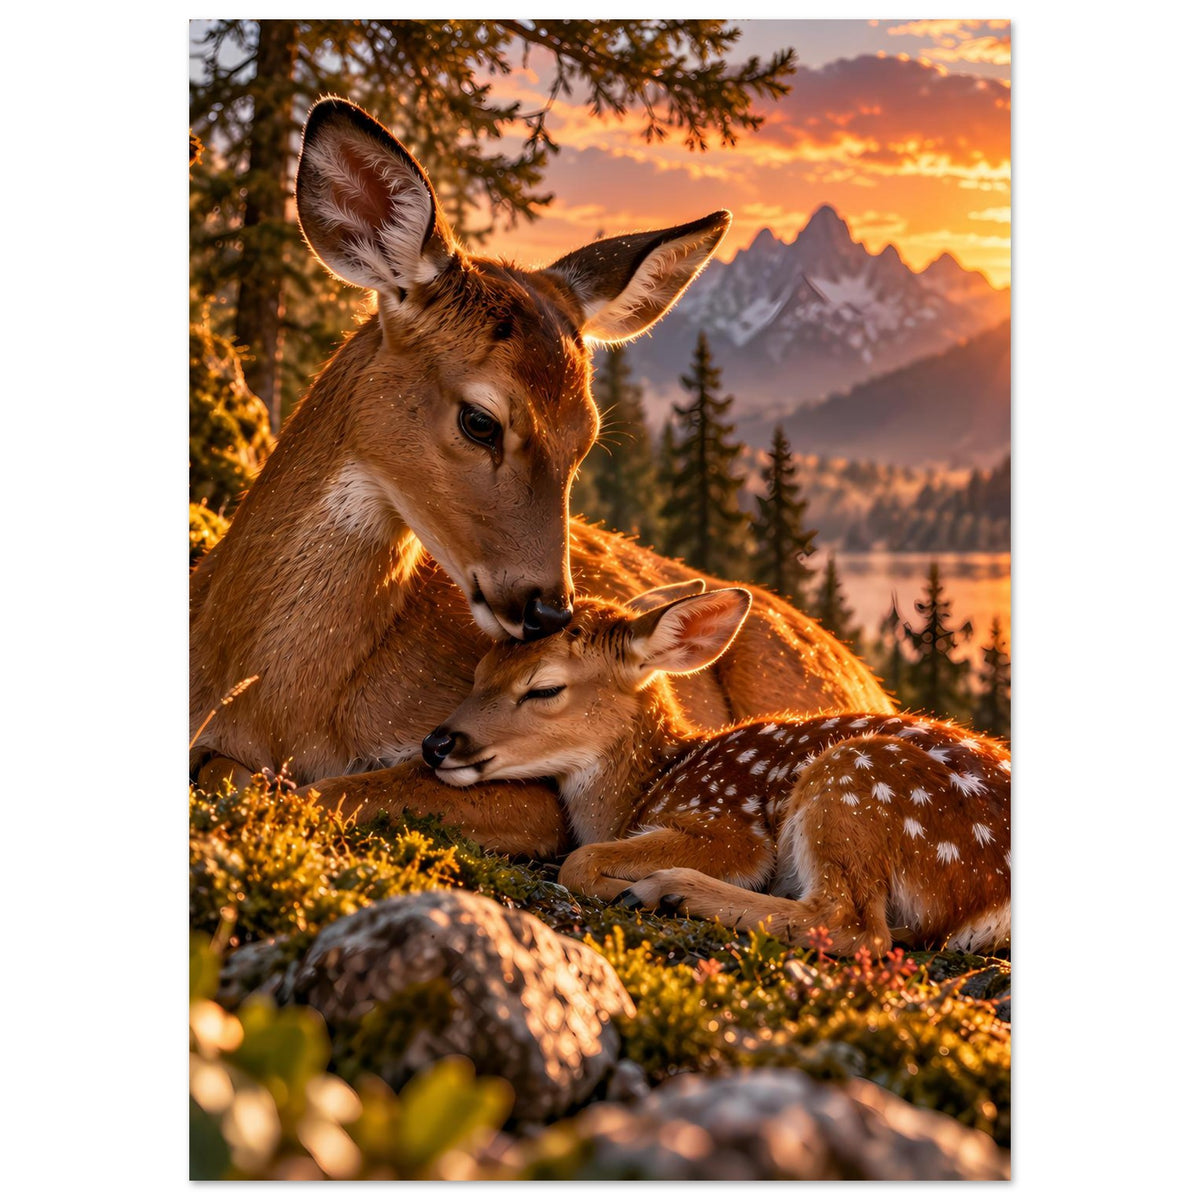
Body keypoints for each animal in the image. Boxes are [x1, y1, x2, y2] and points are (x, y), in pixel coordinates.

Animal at [190, 97, 892, 861]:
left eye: (586, 437)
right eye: (480, 420)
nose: (550, 610)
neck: (273, 702)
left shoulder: (529, 792)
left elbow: (325, 790)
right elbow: (241, 775)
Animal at [422, 583, 1011, 956]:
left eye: (544, 688)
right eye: (480, 670)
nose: (436, 743)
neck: (646, 785)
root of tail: (994, 896)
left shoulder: (728, 824)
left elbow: (580, 859)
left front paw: (620, 885)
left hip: (856, 779)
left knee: (854, 925)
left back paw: (666, 890)